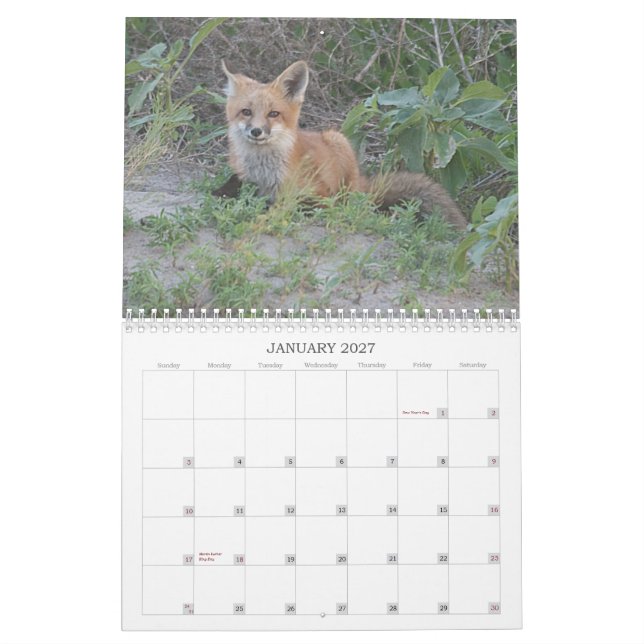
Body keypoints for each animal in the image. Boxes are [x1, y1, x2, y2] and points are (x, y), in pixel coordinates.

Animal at [221, 60, 467, 228]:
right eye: (246, 112)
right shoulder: (245, 179)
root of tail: (360, 180)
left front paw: (260, 218)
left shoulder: (315, 192)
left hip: (338, 141)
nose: (256, 131)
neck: (263, 172)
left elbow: (286, 207)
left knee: (348, 202)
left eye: (273, 114)